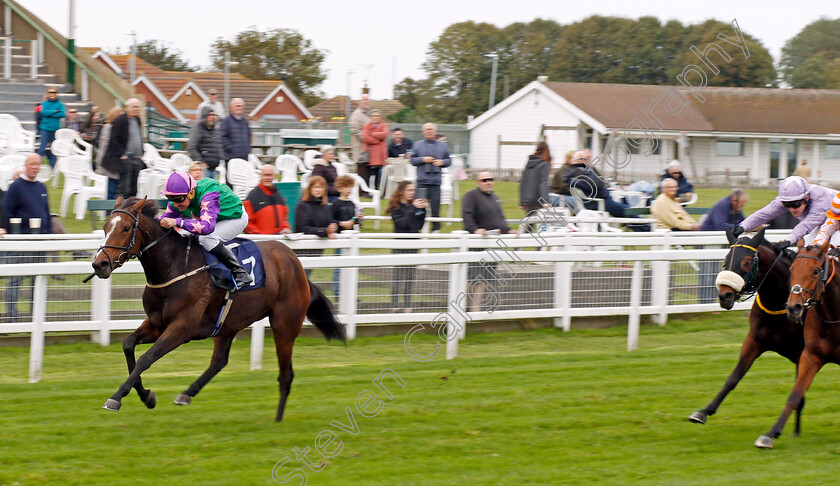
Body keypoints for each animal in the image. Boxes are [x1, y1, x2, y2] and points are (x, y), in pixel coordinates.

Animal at [90, 197, 342, 422]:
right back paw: (187, 394)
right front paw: (146, 396)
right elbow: (128, 345)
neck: (174, 267)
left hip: (285, 326)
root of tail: (295, 262)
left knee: (286, 374)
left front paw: (116, 397)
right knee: (219, 361)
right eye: (105, 227)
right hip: (227, 324)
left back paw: (278, 420)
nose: (99, 264)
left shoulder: (181, 329)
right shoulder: (156, 323)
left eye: (126, 228)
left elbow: (145, 359)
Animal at [688, 228, 808, 432]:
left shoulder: (803, 352)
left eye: (746, 261)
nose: (725, 296)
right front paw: (703, 412)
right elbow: (733, 377)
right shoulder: (754, 341)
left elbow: (798, 394)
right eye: (726, 259)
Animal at [756, 239, 840, 448]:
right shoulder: (811, 355)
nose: (793, 307)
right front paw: (770, 434)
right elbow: (795, 394)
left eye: (816, 271)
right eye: (792, 268)